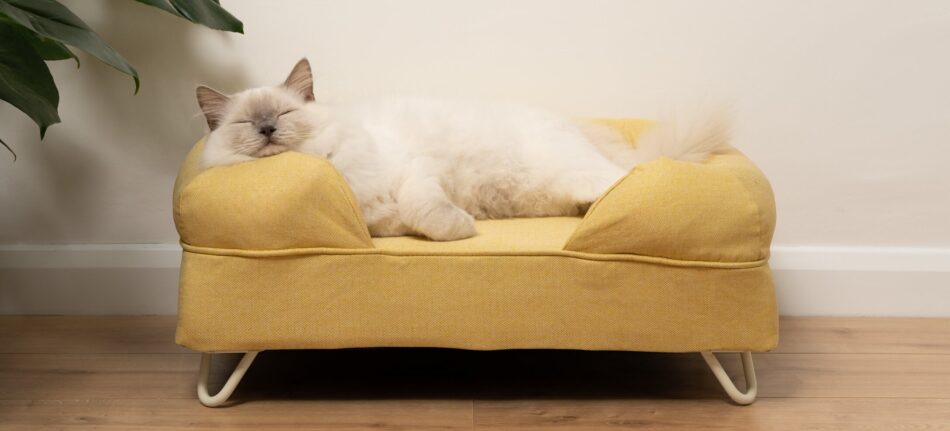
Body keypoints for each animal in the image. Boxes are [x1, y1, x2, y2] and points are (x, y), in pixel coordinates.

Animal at [195, 57, 728, 241]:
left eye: (282, 116)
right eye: (246, 124)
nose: (267, 131)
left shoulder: (417, 171)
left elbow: (426, 211)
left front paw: (464, 229)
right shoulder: (380, 220)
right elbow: (407, 222)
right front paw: (458, 226)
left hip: (582, 170)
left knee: (628, 181)